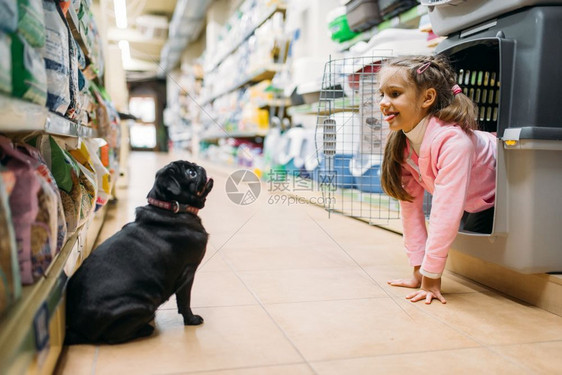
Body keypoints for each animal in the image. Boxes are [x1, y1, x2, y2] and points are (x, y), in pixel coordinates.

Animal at [65, 160, 212, 346]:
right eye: (191, 173)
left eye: (193, 168)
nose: (198, 166)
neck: (171, 209)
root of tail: (77, 327)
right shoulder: (188, 273)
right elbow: (185, 301)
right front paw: (191, 320)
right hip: (146, 305)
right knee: (112, 338)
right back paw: (146, 329)